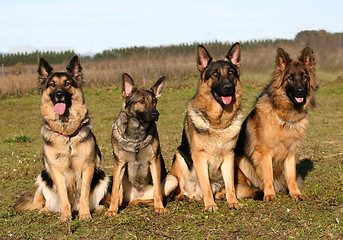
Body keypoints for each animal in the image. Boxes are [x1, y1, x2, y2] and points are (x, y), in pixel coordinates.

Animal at [13, 55, 109, 221]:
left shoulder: (88, 167)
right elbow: (63, 196)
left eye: (67, 83)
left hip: (102, 177)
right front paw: (65, 217)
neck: (67, 135)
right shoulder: (56, 170)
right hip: (44, 178)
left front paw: (85, 214)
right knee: (48, 203)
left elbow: (84, 194)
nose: (59, 95)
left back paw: (97, 208)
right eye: (52, 84)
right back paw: (46, 210)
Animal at [105, 72, 179, 216]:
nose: (156, 114)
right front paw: (112, 210)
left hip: (172, 180)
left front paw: (159, 207)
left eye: (154, 101)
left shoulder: (154, 161)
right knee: (121, 198)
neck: (136, 136)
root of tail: (134, 195)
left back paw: (143, 202)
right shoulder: (119, 164)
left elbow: (157, 190)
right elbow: (115, 191)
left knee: (153, 195)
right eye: (141, 101)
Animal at [171, 43, 243, 212]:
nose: (228, 87)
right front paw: (210, 204)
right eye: (215, 74)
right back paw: (184, 196)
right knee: (182, 188)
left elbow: (230, 184)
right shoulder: (199, 157)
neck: (218, 122)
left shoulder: (229, 156)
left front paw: (233, 201)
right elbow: (206, 185)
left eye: (231, 73)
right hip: (179, 157)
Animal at [236, 47, 318, 201]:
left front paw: (295, 193)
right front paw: (269, 194)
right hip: (243, 161)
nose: (300, 91)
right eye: (290, 78)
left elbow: (291, 176)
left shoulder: (291, 153)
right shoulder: (264, 152)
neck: (286, 117)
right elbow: (268, 174)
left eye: (304, 77)